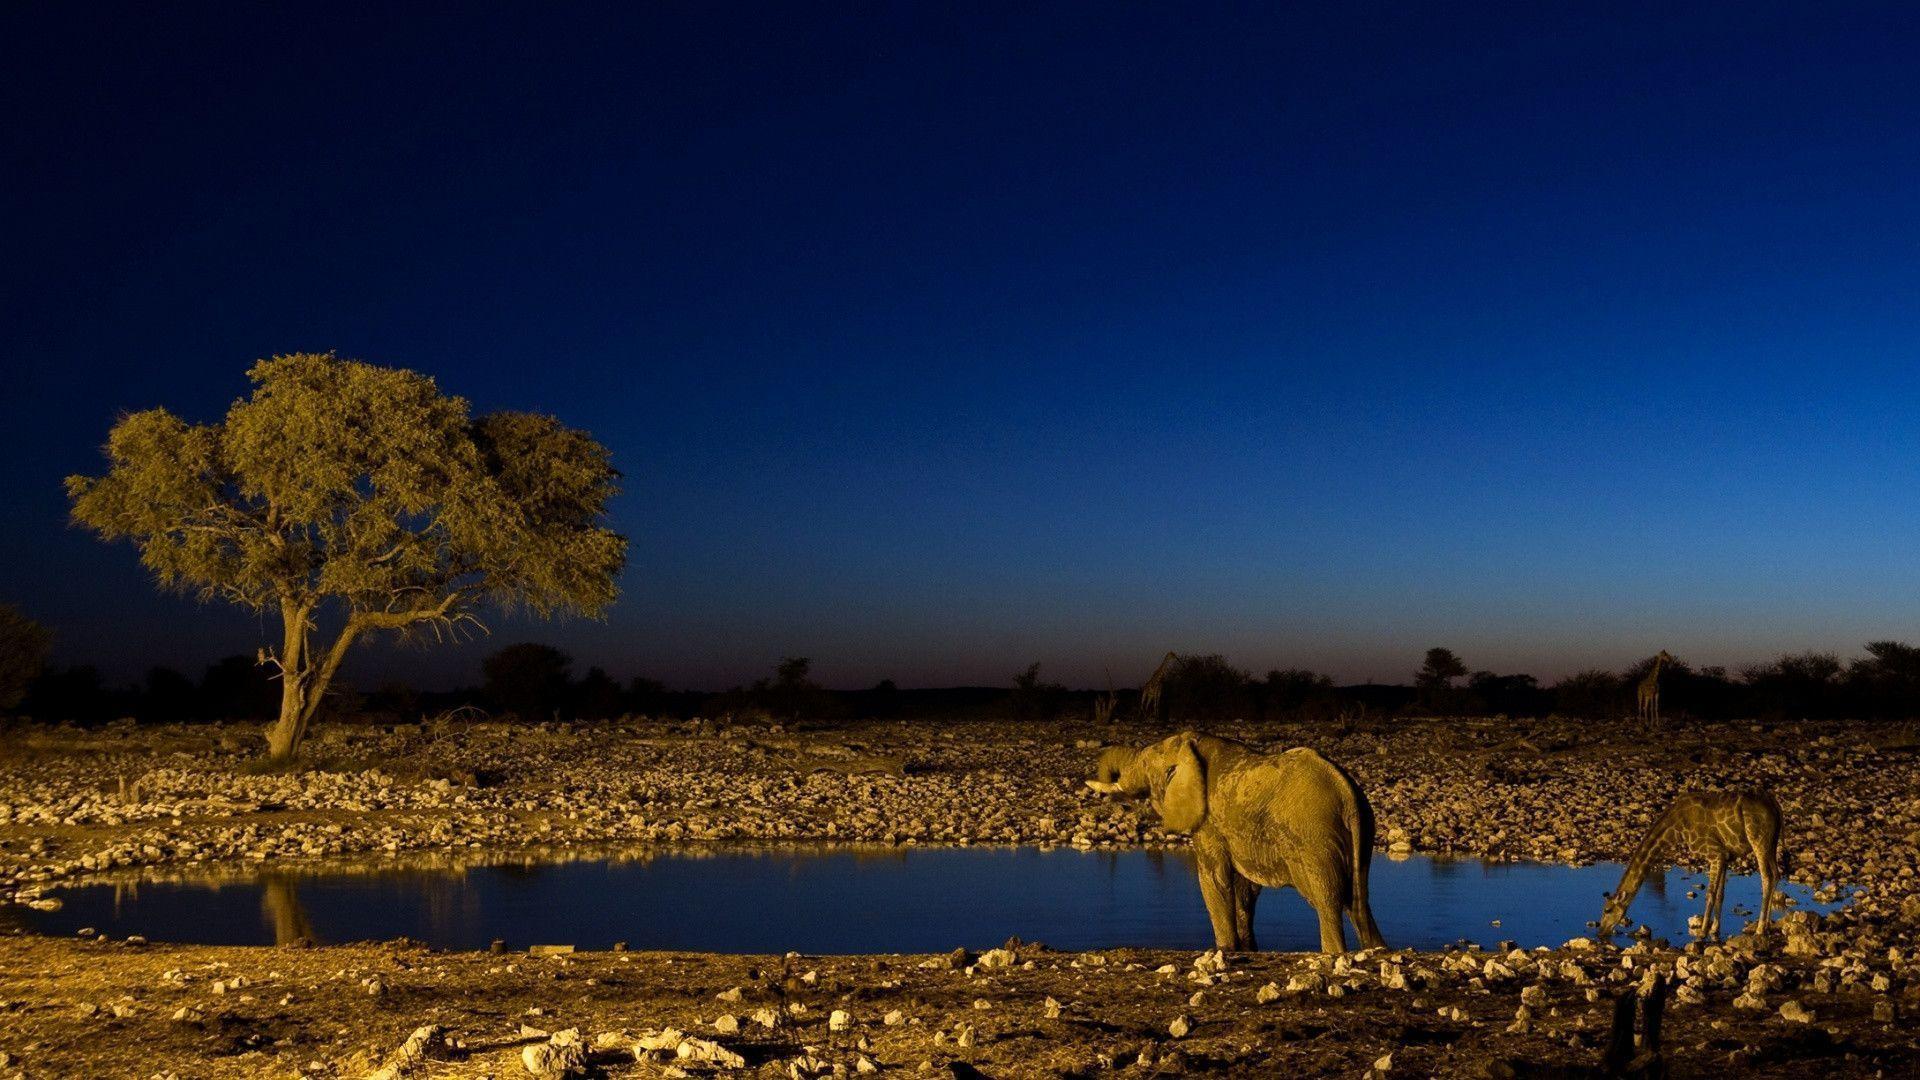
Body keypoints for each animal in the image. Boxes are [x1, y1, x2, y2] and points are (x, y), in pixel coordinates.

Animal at [1087, 731, 1387, 954]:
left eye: (1146, 764)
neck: (1191, 745)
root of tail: (1347, 793)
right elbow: (1245, 889)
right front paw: (1246, 950)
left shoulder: (1209, 822)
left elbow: (1214, 878)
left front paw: (1224, 950)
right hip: (1362, 832)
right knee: (1358, 900)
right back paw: (1376, 949)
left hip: (1314, 836)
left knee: (1328, 899)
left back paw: (1334, 953)